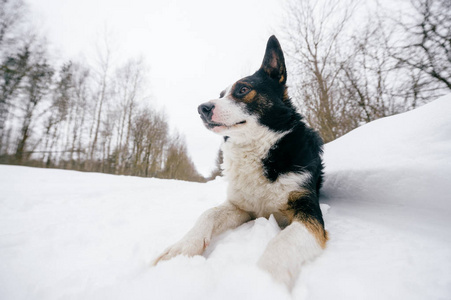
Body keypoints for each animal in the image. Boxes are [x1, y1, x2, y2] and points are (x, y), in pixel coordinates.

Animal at [154, 35, 326, 288]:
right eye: (221, 94)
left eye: (243, 89)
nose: (202, 109)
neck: (258, 149)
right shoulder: (241, 207)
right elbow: (207, 213)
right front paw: (182, 248)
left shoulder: (308, 211)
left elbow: (282, 242)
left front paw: (264, 281)